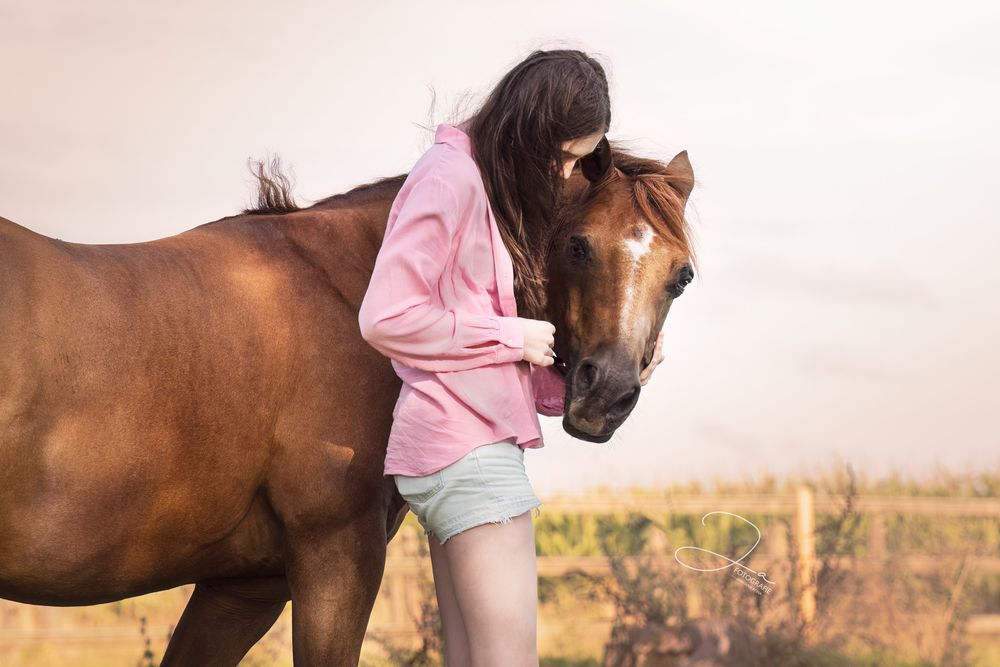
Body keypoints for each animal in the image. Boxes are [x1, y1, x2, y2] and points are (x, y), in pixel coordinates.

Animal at [0, 138, 695, 665]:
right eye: (579, 244)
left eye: (682, 277)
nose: (606, 393)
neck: (355, 288)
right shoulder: (336, 555)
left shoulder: (241, 588)